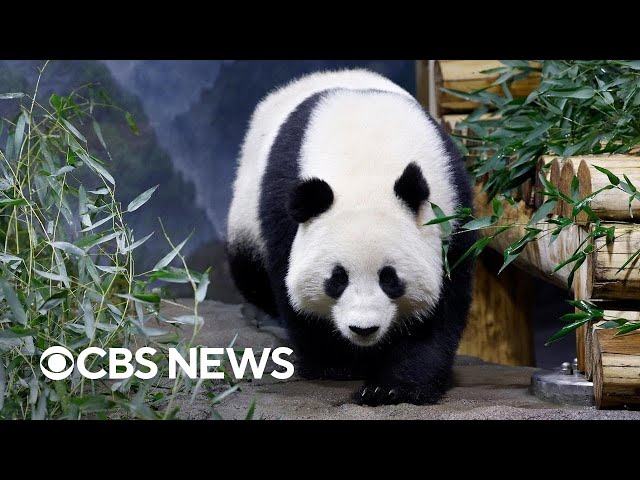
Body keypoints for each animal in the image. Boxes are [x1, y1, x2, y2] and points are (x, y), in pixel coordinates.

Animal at [229, 67, 476, 404]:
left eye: (390, 279)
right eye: (337, 279)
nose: (363, 329)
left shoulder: (451, 203)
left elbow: (442, 304)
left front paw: (393, 387)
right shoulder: (282, 204)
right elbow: (290, 285)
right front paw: (335, 364)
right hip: (245, 207)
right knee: (249, 271)